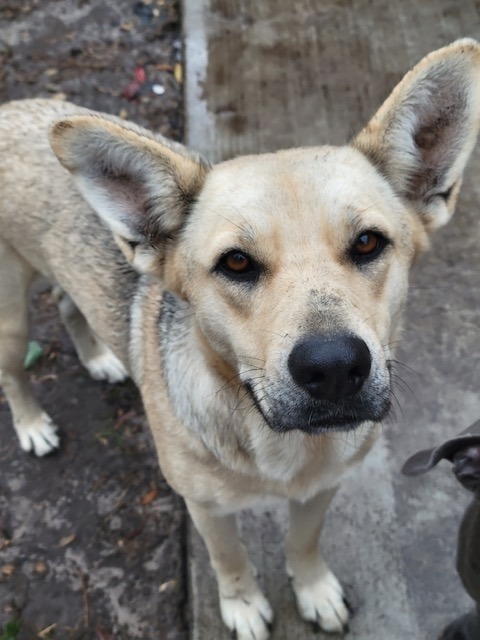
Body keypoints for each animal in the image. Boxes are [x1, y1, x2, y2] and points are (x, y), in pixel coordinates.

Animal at [0, 40, 480, 640]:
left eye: (369, 243)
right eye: (235, 263)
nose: (334, 368)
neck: (273, 439)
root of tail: (12, 107)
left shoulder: (324, 487)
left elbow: (304, 542)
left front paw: (314, 589)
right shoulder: (205, 507)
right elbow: (229, 558)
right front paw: (243, 604)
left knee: (69, 304)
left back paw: (98, 356)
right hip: (12, 317)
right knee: (13, 372)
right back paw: (32, 425)